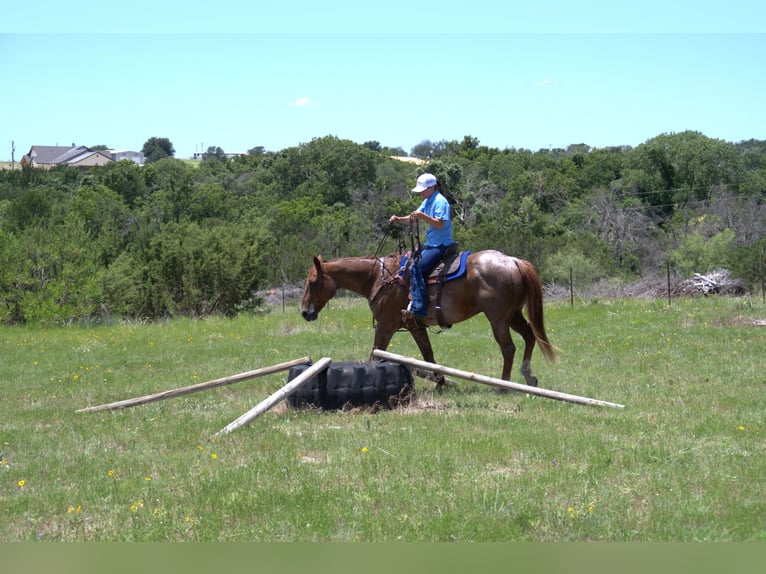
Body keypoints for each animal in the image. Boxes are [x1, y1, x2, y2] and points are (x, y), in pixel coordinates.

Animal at [300, 250, 557, 388]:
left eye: (312, 282)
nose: (304, 312)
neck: (377, 278)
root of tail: (513, 261)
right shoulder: (415, 326)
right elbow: (429, 356)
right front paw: (442, 382)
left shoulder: (386, 325)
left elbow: (375, 354)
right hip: (513, 315)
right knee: (530, 337)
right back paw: (528, 376)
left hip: (498, 319)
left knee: (508, 348)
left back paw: (502, 385)